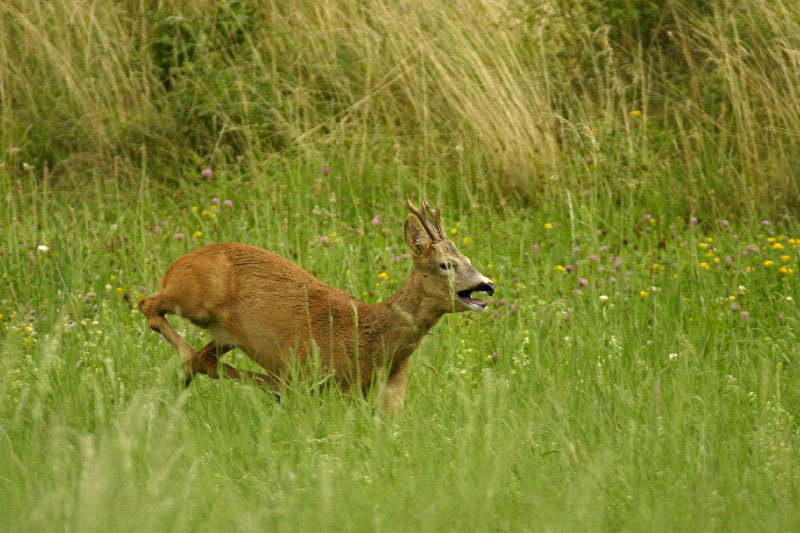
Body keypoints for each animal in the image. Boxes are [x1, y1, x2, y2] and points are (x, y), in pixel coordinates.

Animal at [141, 200, 496, 412]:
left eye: (468, 259)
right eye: (446, 265)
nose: (487, 285)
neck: (372, 339)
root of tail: (177, 264)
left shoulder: (392, 395)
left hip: (227, 335)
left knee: (205, 361)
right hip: (194, 300)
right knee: (149, 305)